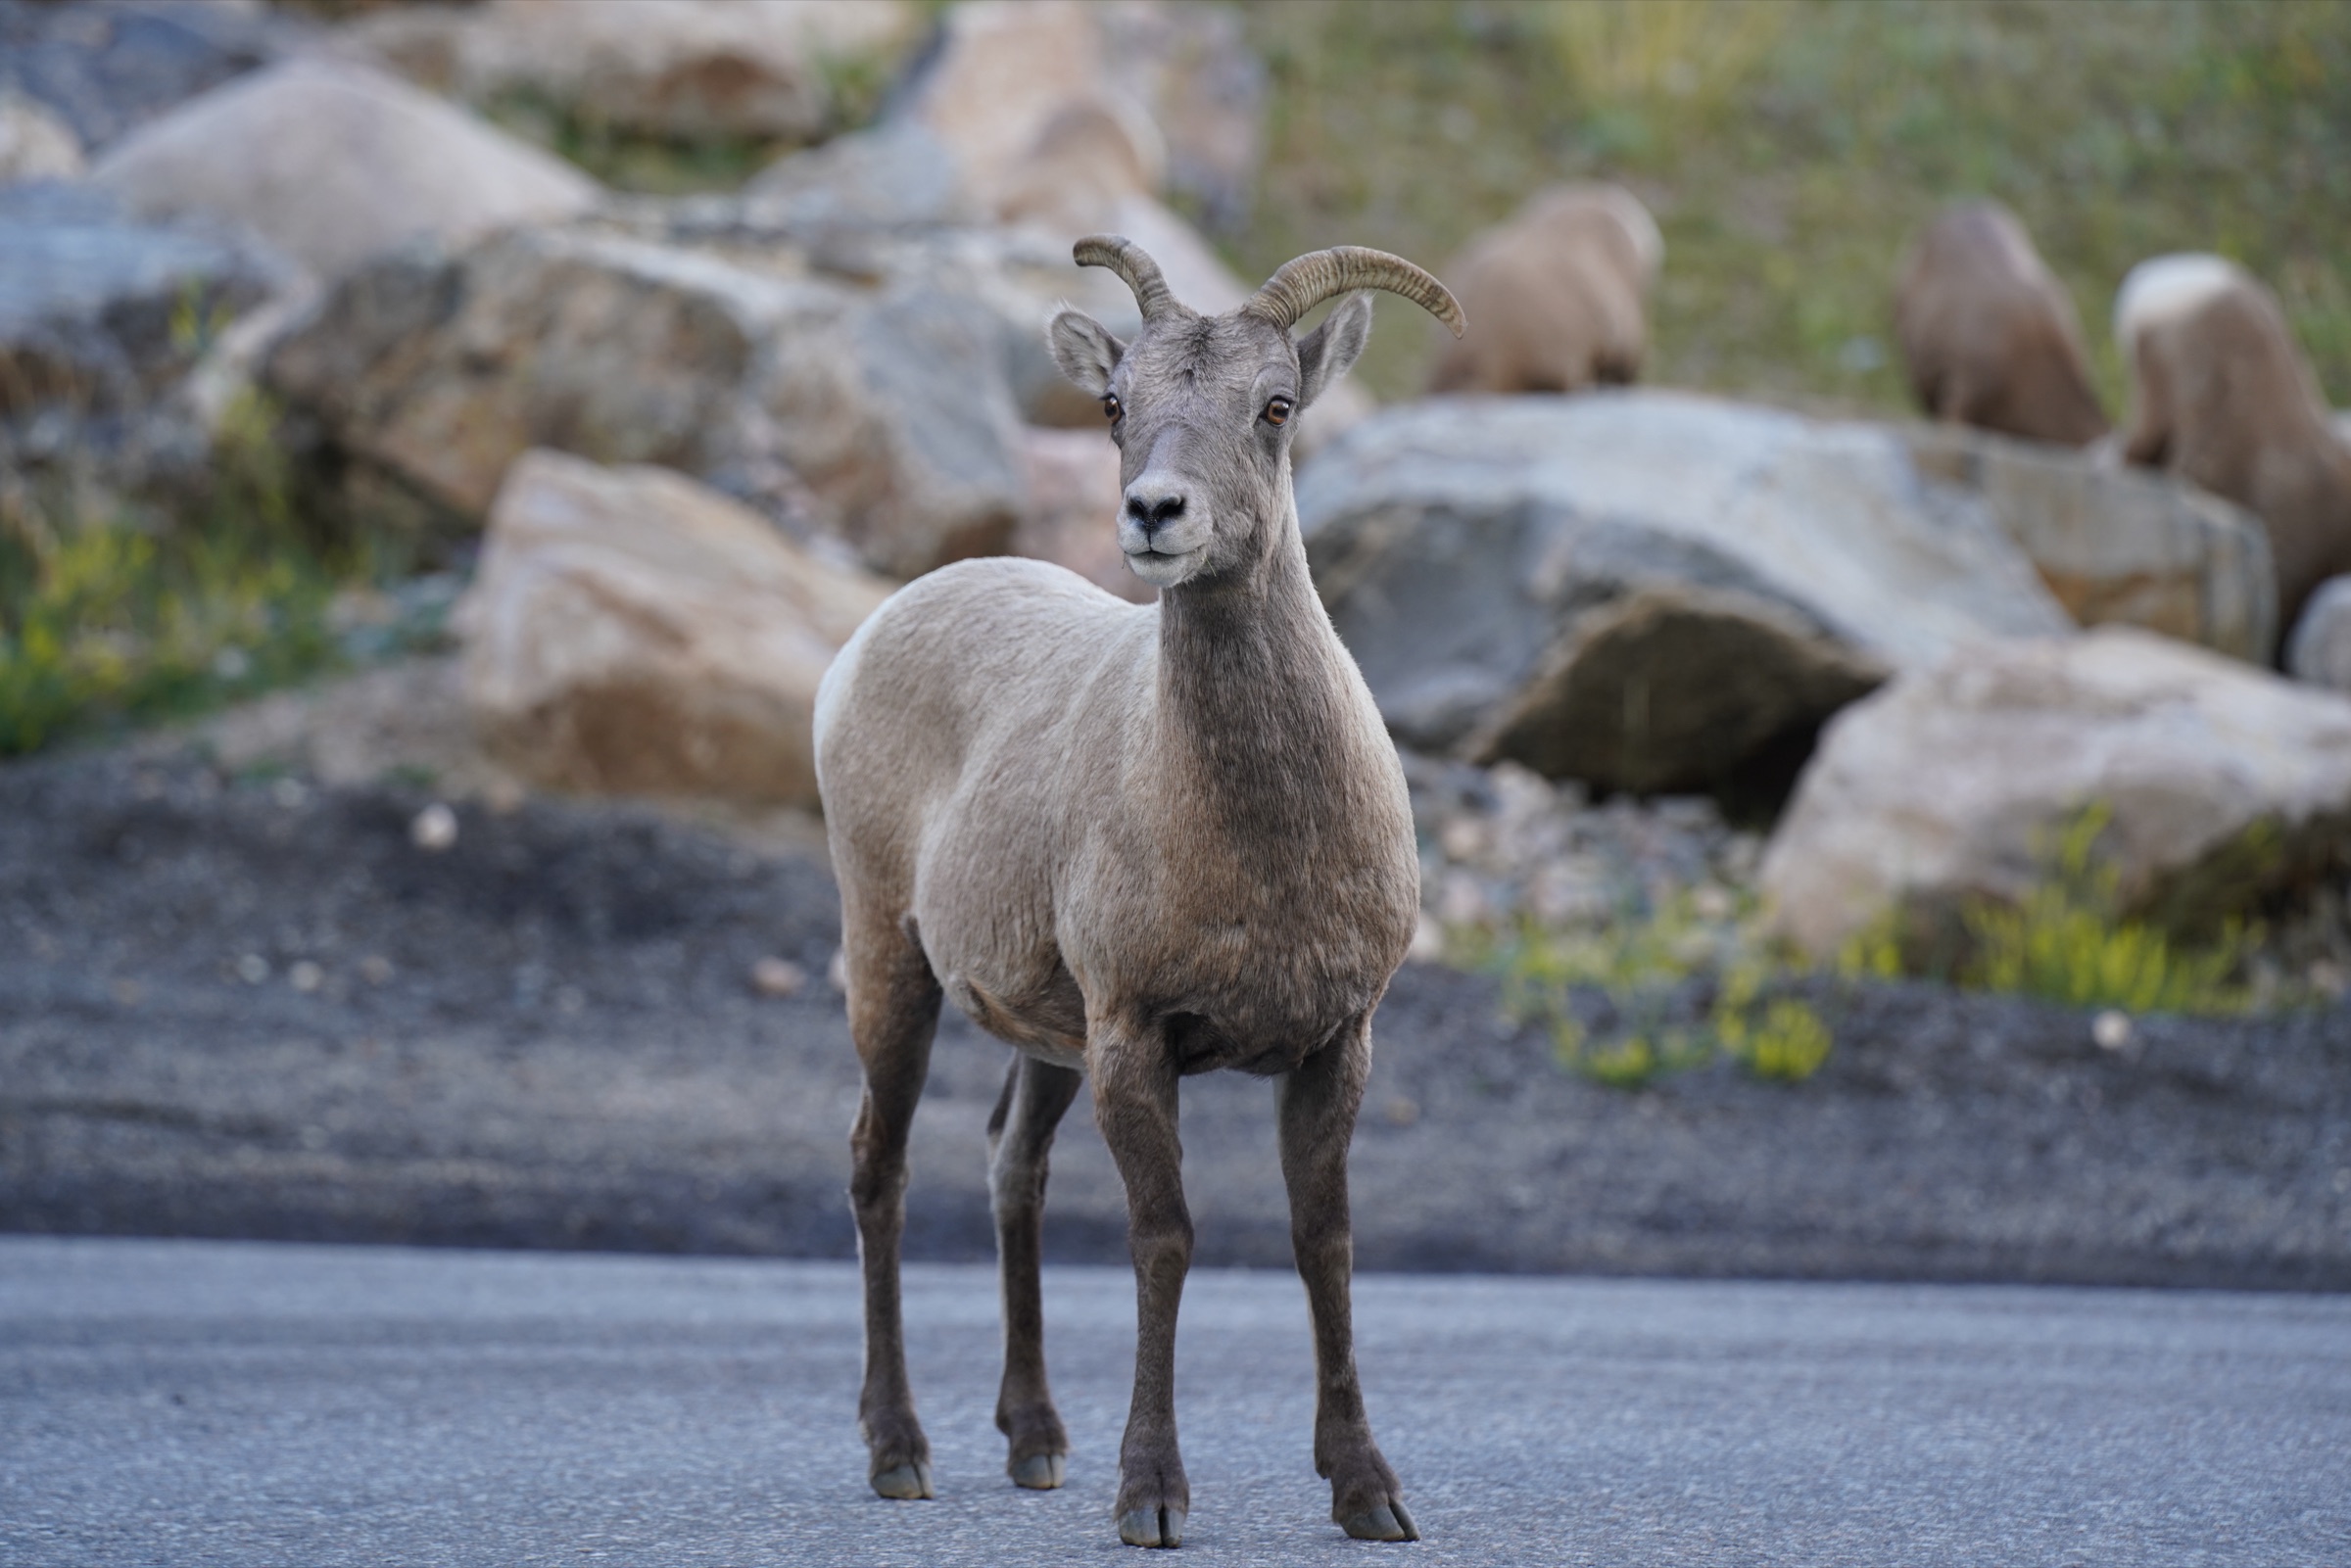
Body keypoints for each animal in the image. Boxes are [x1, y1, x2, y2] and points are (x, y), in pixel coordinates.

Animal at [812, 235, 1463, 1549]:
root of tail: (866, 643)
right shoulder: (1134, 1034)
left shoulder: (1337, 1042)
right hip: (893, 965)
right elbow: (1164, 1239)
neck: (1257, 844)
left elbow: (1325, 1241)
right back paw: (900, 1450)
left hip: (1042, 1037)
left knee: (1011, 1165)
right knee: (876, 1165)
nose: (1156, 513)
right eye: (1116, 404)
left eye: (1276, 407)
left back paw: (1033, 1441)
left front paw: (1368, 1491)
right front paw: (1151, 1497)